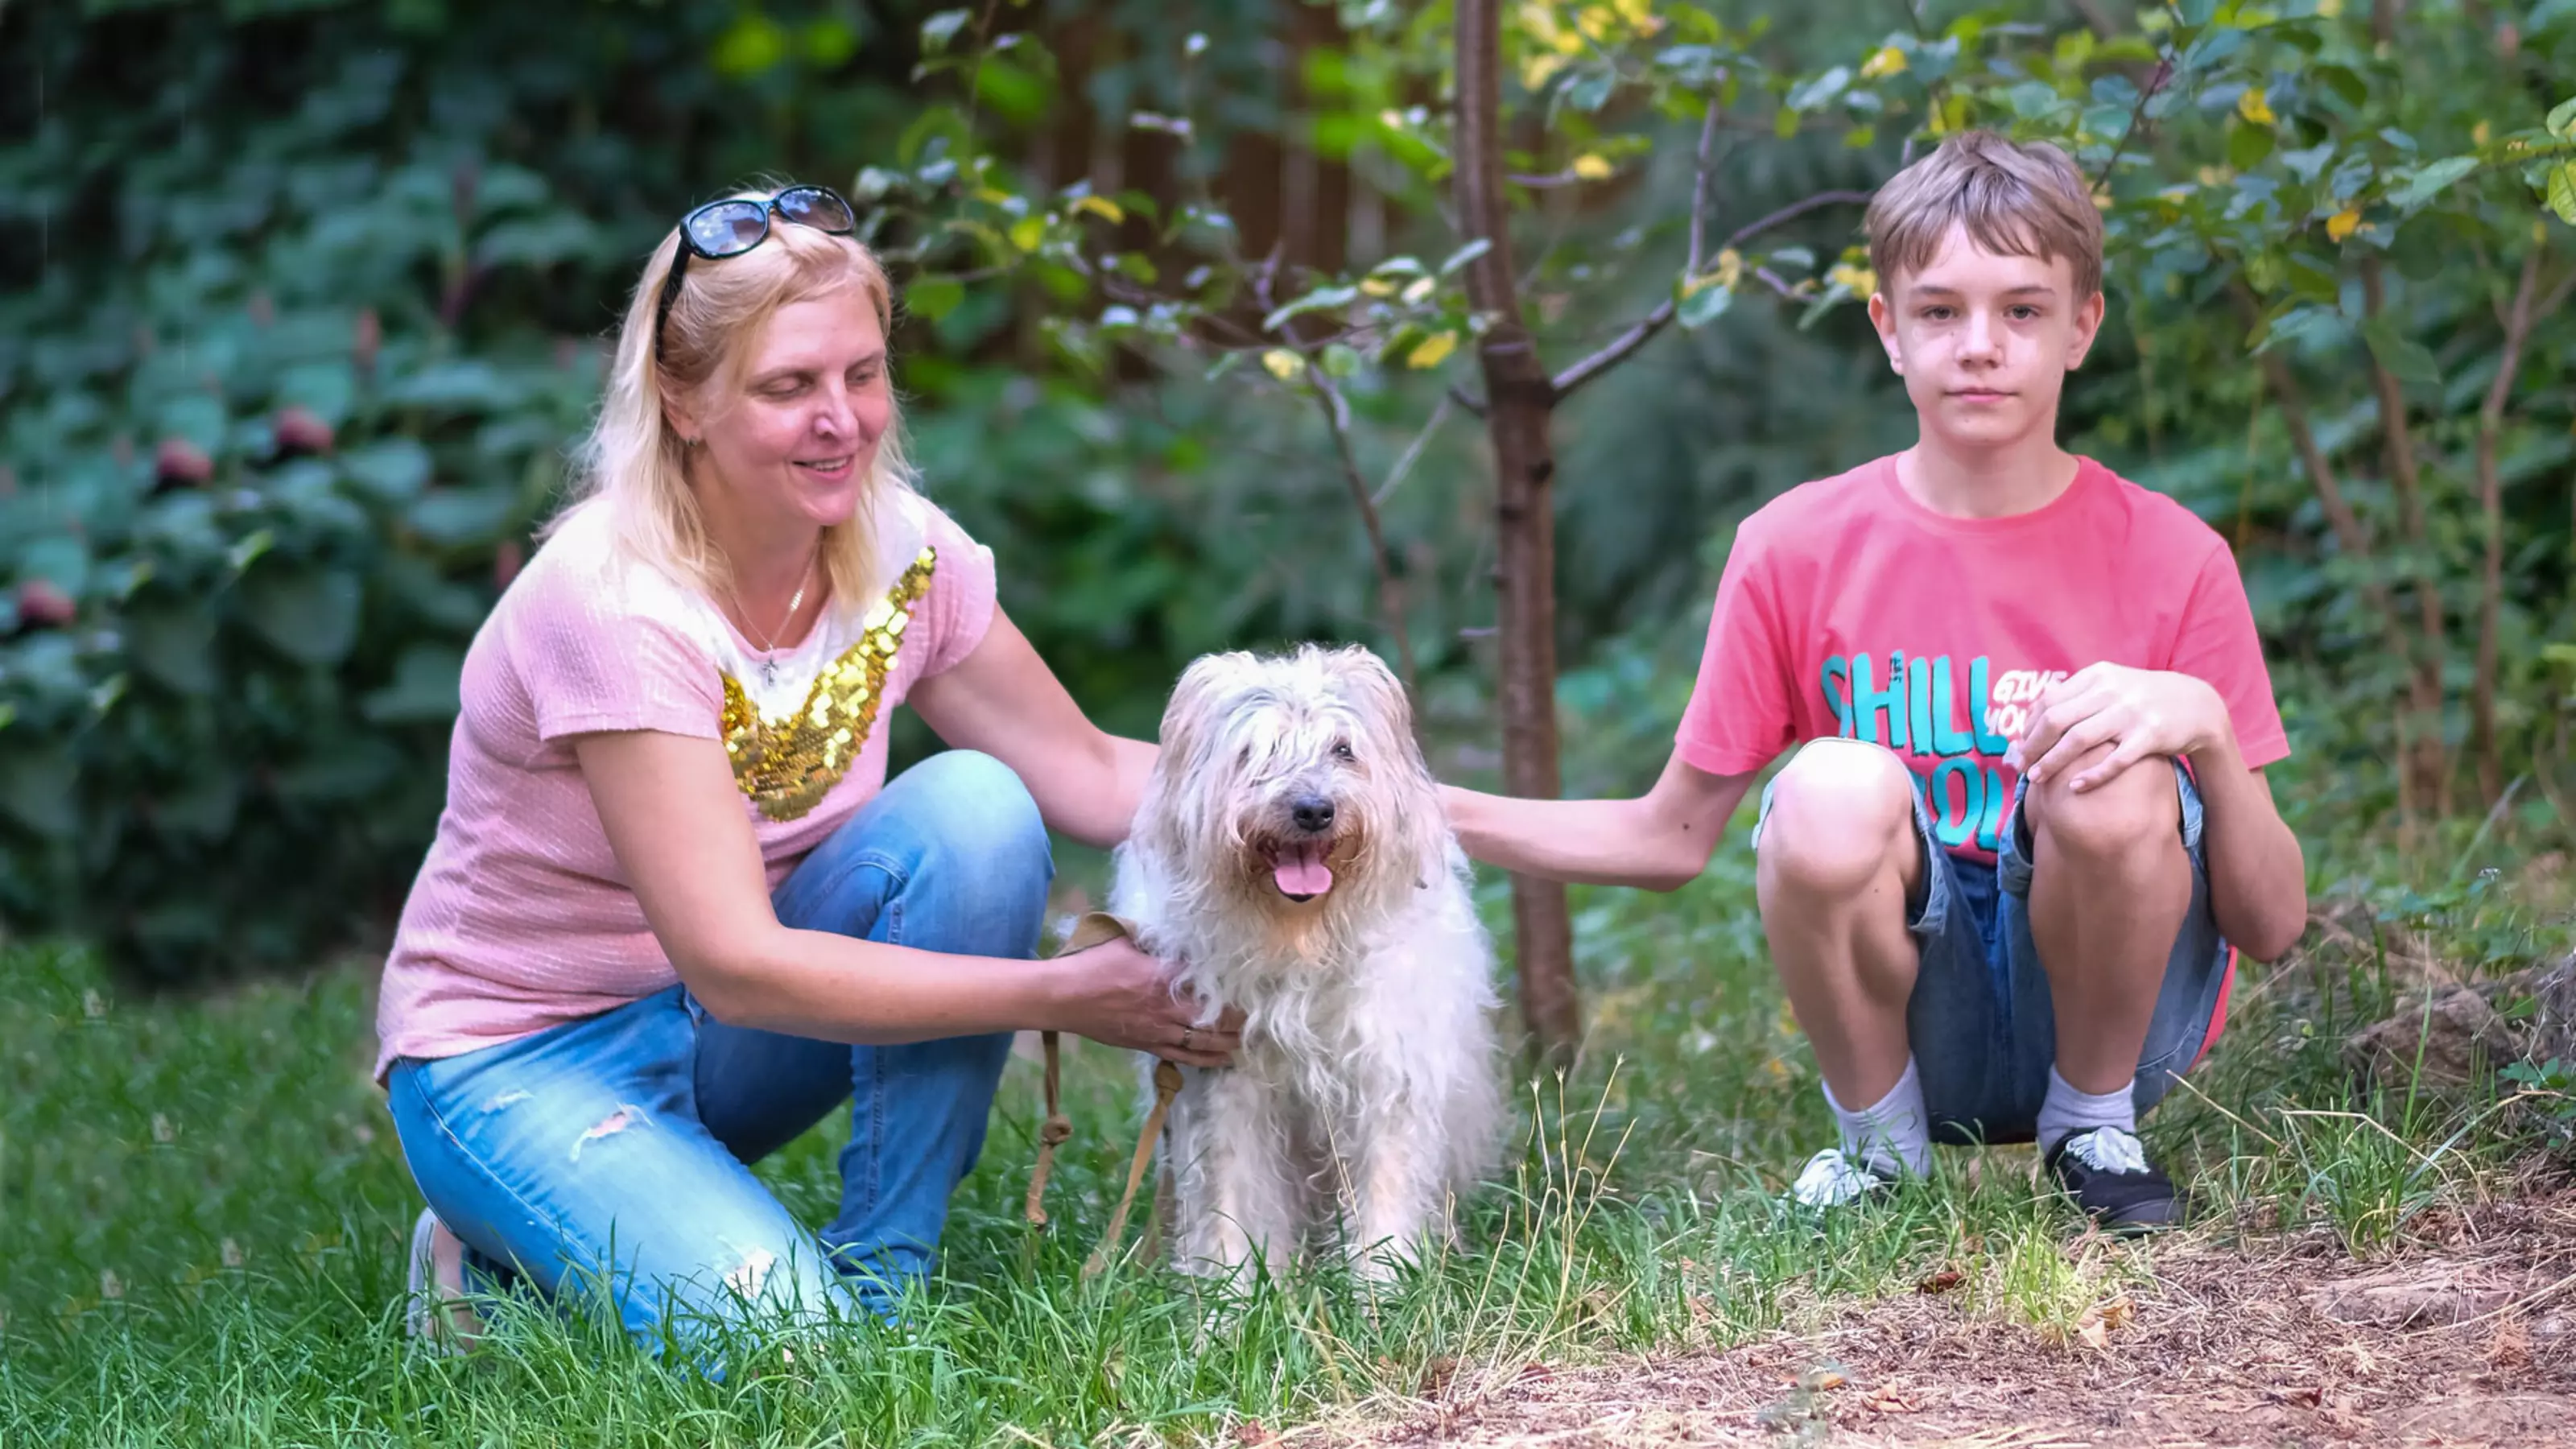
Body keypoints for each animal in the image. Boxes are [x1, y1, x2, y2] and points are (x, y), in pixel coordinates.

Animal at [1113, 642, 1504, 1274]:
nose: (1314, 809)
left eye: (1343, 749)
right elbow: (1231, 1196)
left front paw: (1382, 1285)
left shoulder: (1385, 1074)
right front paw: (1231, 1291)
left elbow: (1384, 1190)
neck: (1300, 936)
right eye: (1253, 751)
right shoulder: (1226, 1084)